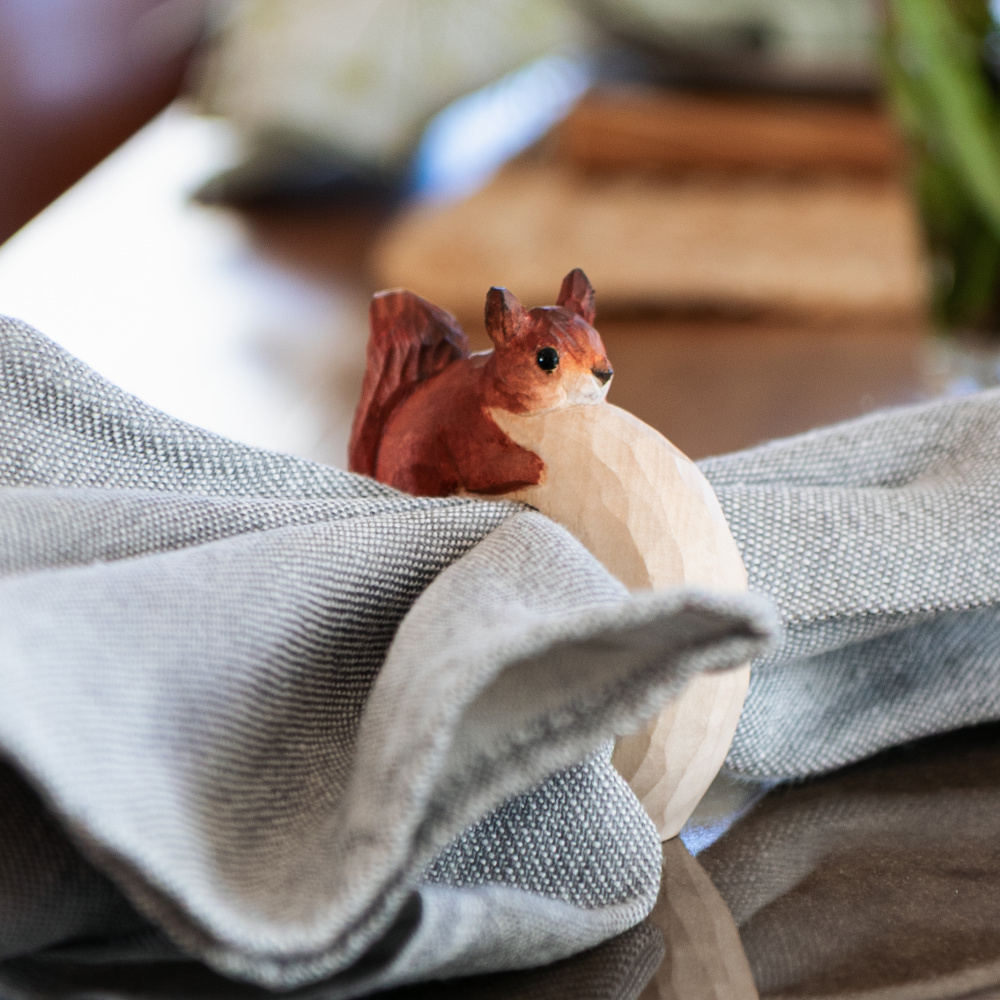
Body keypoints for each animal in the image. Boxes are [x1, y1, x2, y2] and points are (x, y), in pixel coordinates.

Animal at [348, 268, 613, 497]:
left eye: (598, 339)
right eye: (546, 358)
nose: (604, 373)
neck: (491, 389)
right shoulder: (466, 424)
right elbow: (486, 469)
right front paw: (537, 465)